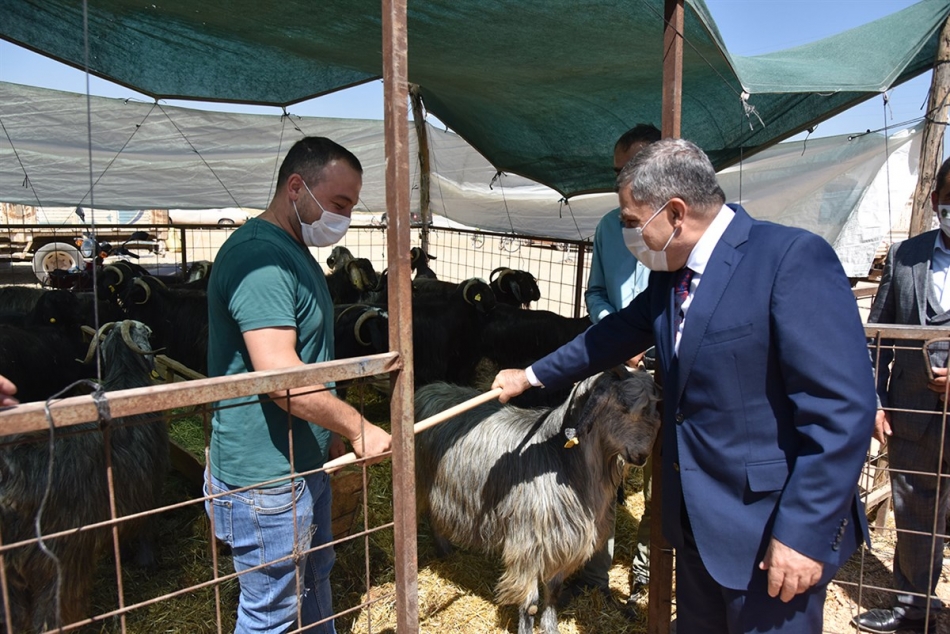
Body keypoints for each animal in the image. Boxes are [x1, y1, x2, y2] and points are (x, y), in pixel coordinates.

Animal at [0, 320, 170, 632]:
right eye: (145, 332)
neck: (125, 377)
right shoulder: (150, 479)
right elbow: (146, 523)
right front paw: (147, 559)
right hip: (60, 556)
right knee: (51, 615)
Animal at [414, 369, 660, 634]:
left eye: (653, 408)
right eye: (623, 407)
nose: (642, 456)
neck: (561, 460)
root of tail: (427, 389)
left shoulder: (560, 541)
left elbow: (552, 592)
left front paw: (551, 627)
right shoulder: (528, 544)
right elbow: (530, 604)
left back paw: (445, 552)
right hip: (423, 483)